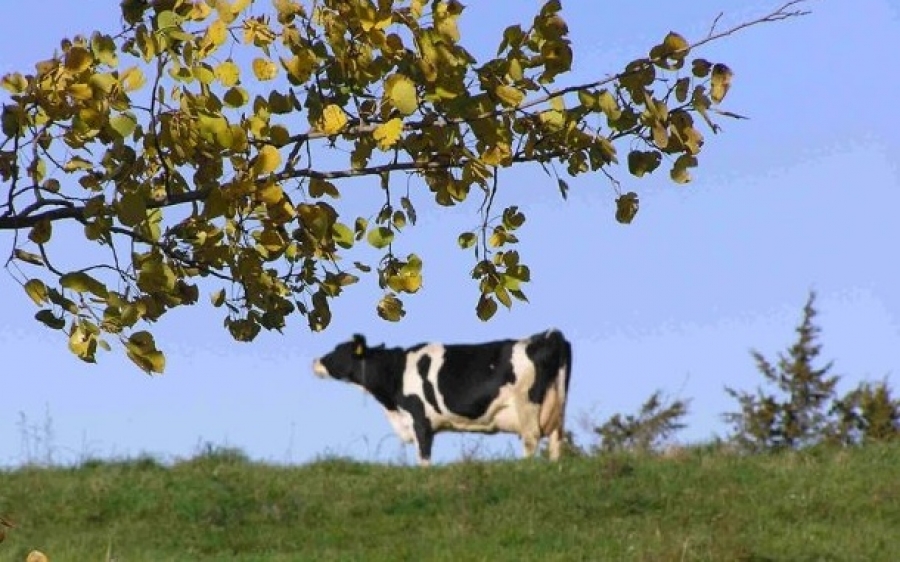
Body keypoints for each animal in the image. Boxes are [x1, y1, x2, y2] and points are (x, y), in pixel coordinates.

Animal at [312, 328, 572, 464]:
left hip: (527, 405)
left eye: (338, 351)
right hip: (558, 406)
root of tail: (551, 335)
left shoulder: (419, 419)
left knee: (531, 439)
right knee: (556, 439)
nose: (315, 361)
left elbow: (424, 457)